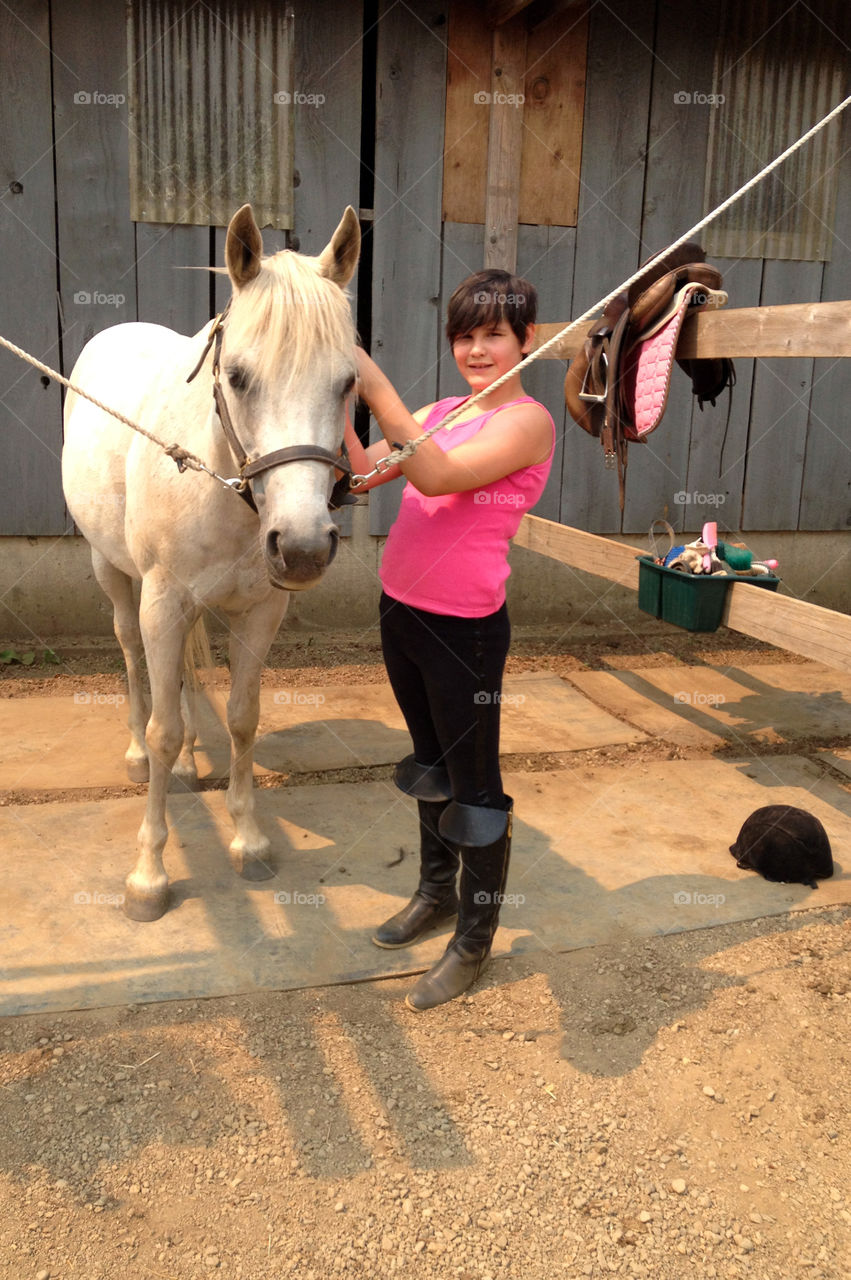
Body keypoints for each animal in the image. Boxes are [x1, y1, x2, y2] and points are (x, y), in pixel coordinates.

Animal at [61, 202, 360, 921]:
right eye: (239, 376)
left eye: (347, 382)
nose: (303, 546)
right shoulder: (162, 602)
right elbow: (164, 725)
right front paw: (148, 875)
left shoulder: (260, 610)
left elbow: (243, 718)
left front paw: (248, 840)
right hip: (115, 576)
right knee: (132, 657)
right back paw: (137, 754)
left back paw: (193, 759)